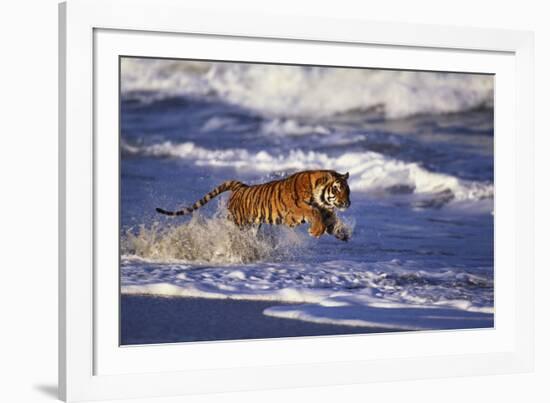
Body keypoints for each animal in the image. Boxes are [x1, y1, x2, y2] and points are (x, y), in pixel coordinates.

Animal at [155, 170, 354, 241]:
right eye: (337, 189)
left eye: (348, 190)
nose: (347, 203)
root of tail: (240, 186)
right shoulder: (295, 211)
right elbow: (312, 212)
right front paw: (315, 231)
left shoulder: (326, 211)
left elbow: (331, 221)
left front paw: (343, 233)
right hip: (238, 222)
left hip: (252, 225)